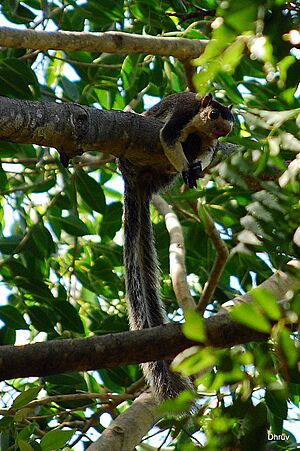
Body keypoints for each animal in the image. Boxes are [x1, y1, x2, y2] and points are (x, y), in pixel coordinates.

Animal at [118, 91, 234, 400]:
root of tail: (140, 184)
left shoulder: (211, 144)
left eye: (231, 122)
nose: (223, 129)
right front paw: (186, 168)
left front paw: (196, 167)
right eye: (214, 115)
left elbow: (206, 153)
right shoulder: (182, 115)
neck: (201, 127)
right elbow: (168, 138)